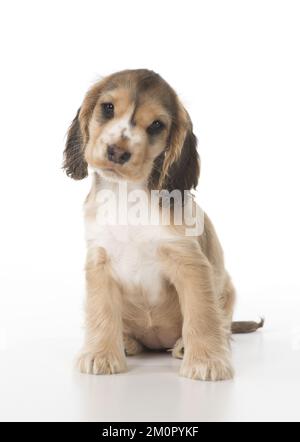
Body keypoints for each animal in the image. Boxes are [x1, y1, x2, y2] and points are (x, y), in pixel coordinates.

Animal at [63, 69, 262, 380]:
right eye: (107, 108)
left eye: (156, 125)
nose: (117, 152)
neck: (128, 196)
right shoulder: (99, 261)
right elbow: (101, 312)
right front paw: (101, 355)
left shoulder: (189, 262)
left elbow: (201, 315)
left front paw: (206, 361)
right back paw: (126, 342)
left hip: (227, 292)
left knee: (221, 326)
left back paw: (183, 346)